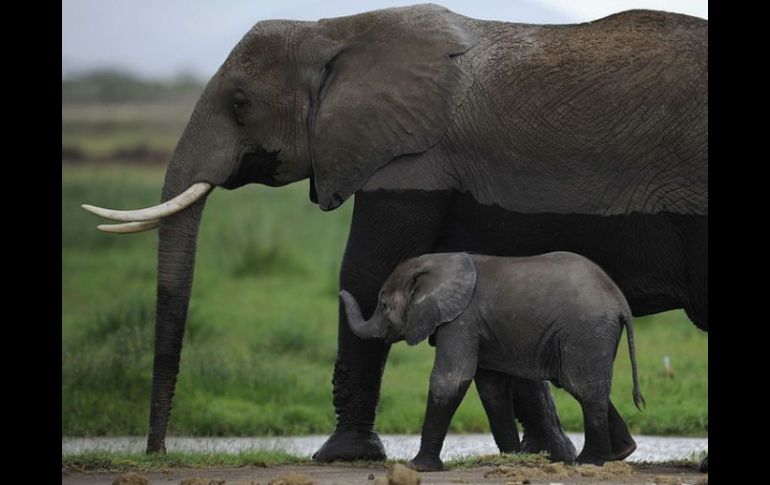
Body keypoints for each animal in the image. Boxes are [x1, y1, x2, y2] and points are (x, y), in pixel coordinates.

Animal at [340, 251, 640, 470]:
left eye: (384, 306)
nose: (341, 291)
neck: (436, 263)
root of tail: (621, 301)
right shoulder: (479, 329)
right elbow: (491, 390)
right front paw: (513, 459)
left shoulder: (461, 321)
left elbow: (450, 381)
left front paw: (417, 468)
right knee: (582, 385)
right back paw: (621, 452)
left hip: (586, 332)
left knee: (582, 386)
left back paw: (587, 463)